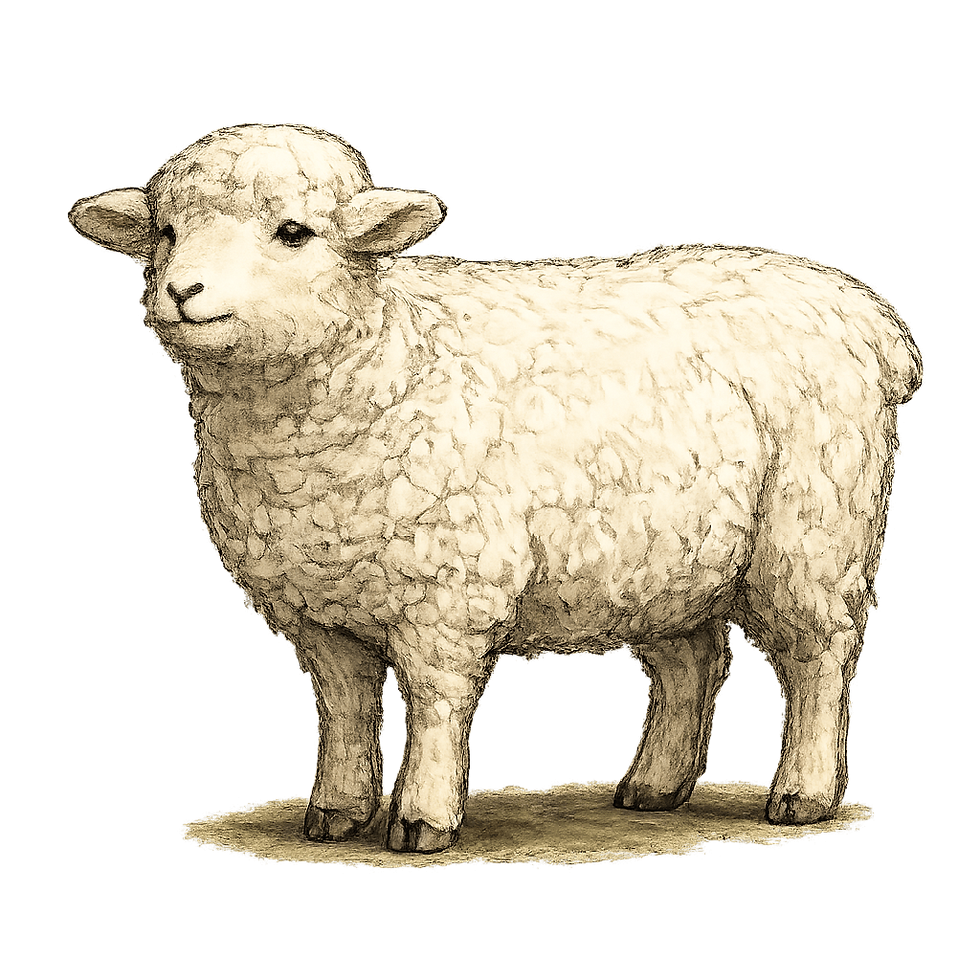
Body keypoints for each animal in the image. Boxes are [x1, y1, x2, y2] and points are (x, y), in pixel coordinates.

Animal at [66, 120, 927, 855]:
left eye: (293, 233)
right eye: (166, 232)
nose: (183, 292)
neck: (387, 353)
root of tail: (870, 317)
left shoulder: (445, 590)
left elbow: (433, 701)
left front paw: (421, 819)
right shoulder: (316, 604)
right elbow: (344, 708)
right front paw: (336, 812)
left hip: (814, 525)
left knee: (819, 654)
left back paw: (803, 794)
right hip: (664, 551)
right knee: (691, 662)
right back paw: (652, 787)